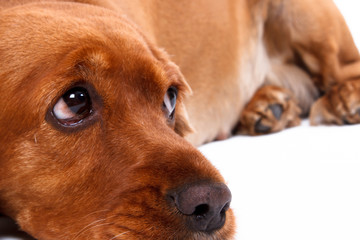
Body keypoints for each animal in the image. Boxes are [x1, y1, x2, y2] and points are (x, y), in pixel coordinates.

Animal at [0, 0, 358, 240]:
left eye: (170, 98)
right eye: (74, 103)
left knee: (345, 67)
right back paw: (270, 105)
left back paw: (344, 98)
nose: (213, 205)